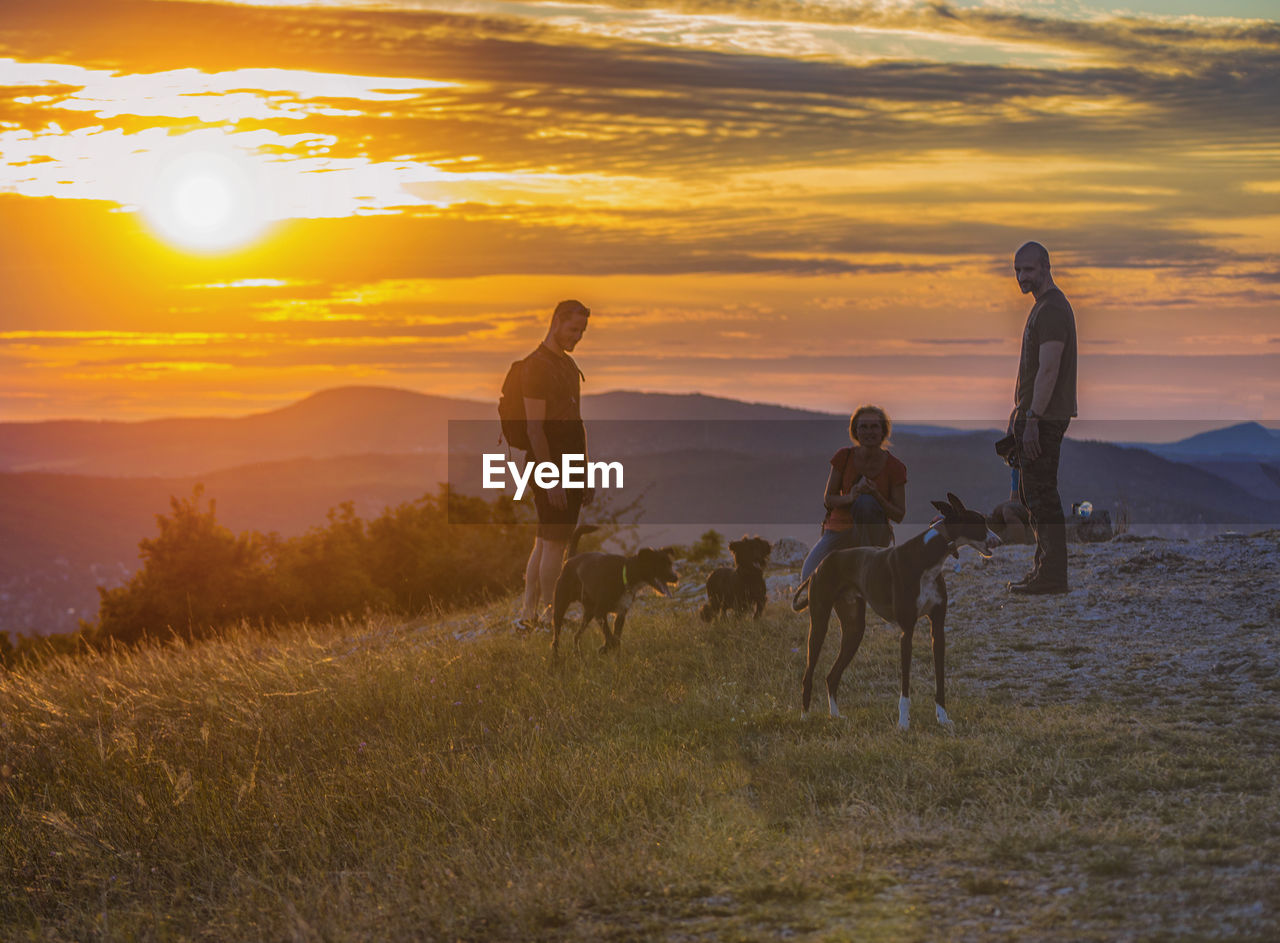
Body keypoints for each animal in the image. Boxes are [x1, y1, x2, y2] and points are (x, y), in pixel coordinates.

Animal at [550, 529, 680, 655]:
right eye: (659, 564)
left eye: (670, 564)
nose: (676, 578)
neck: (626, 574)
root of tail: (569, 560)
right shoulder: (600, 613)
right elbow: (611, 638)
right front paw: (605, 648)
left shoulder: (620, 613)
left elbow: (616, 639)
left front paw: (610, 652)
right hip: (560, 607)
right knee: (556, 636)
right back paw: (556, 656)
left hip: (589, 612)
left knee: (576, 635)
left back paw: (577, 652)